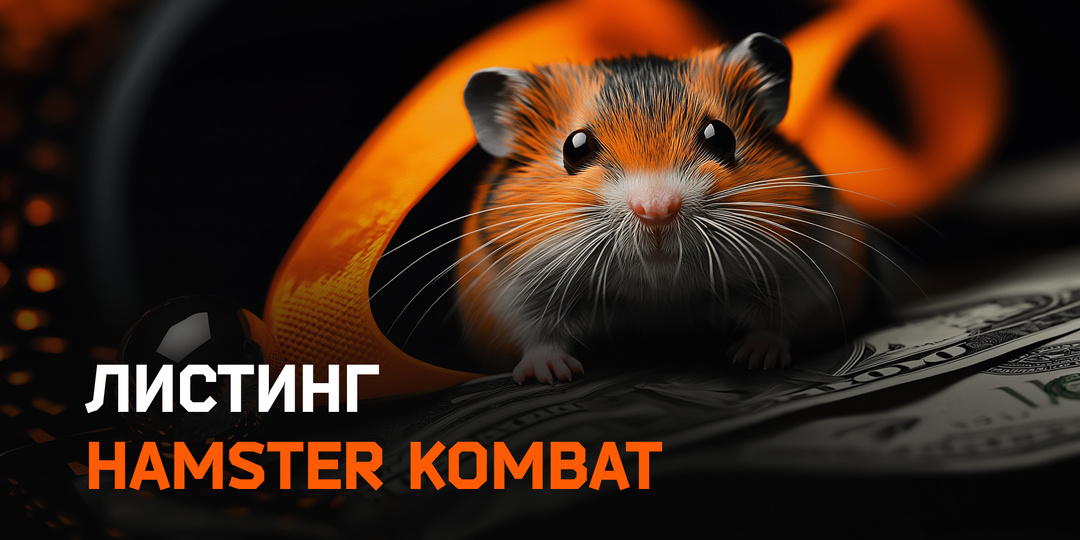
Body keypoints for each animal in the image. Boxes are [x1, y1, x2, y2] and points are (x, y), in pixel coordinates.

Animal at [456, 33, 876, 383]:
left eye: (721, 136)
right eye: (575, 148)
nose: (656, 210)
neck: (658, 289)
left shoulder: (807, 267)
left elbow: (780, 318)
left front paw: (755, 358)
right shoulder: (511, 291)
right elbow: (536, 335)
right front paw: (551, 375)